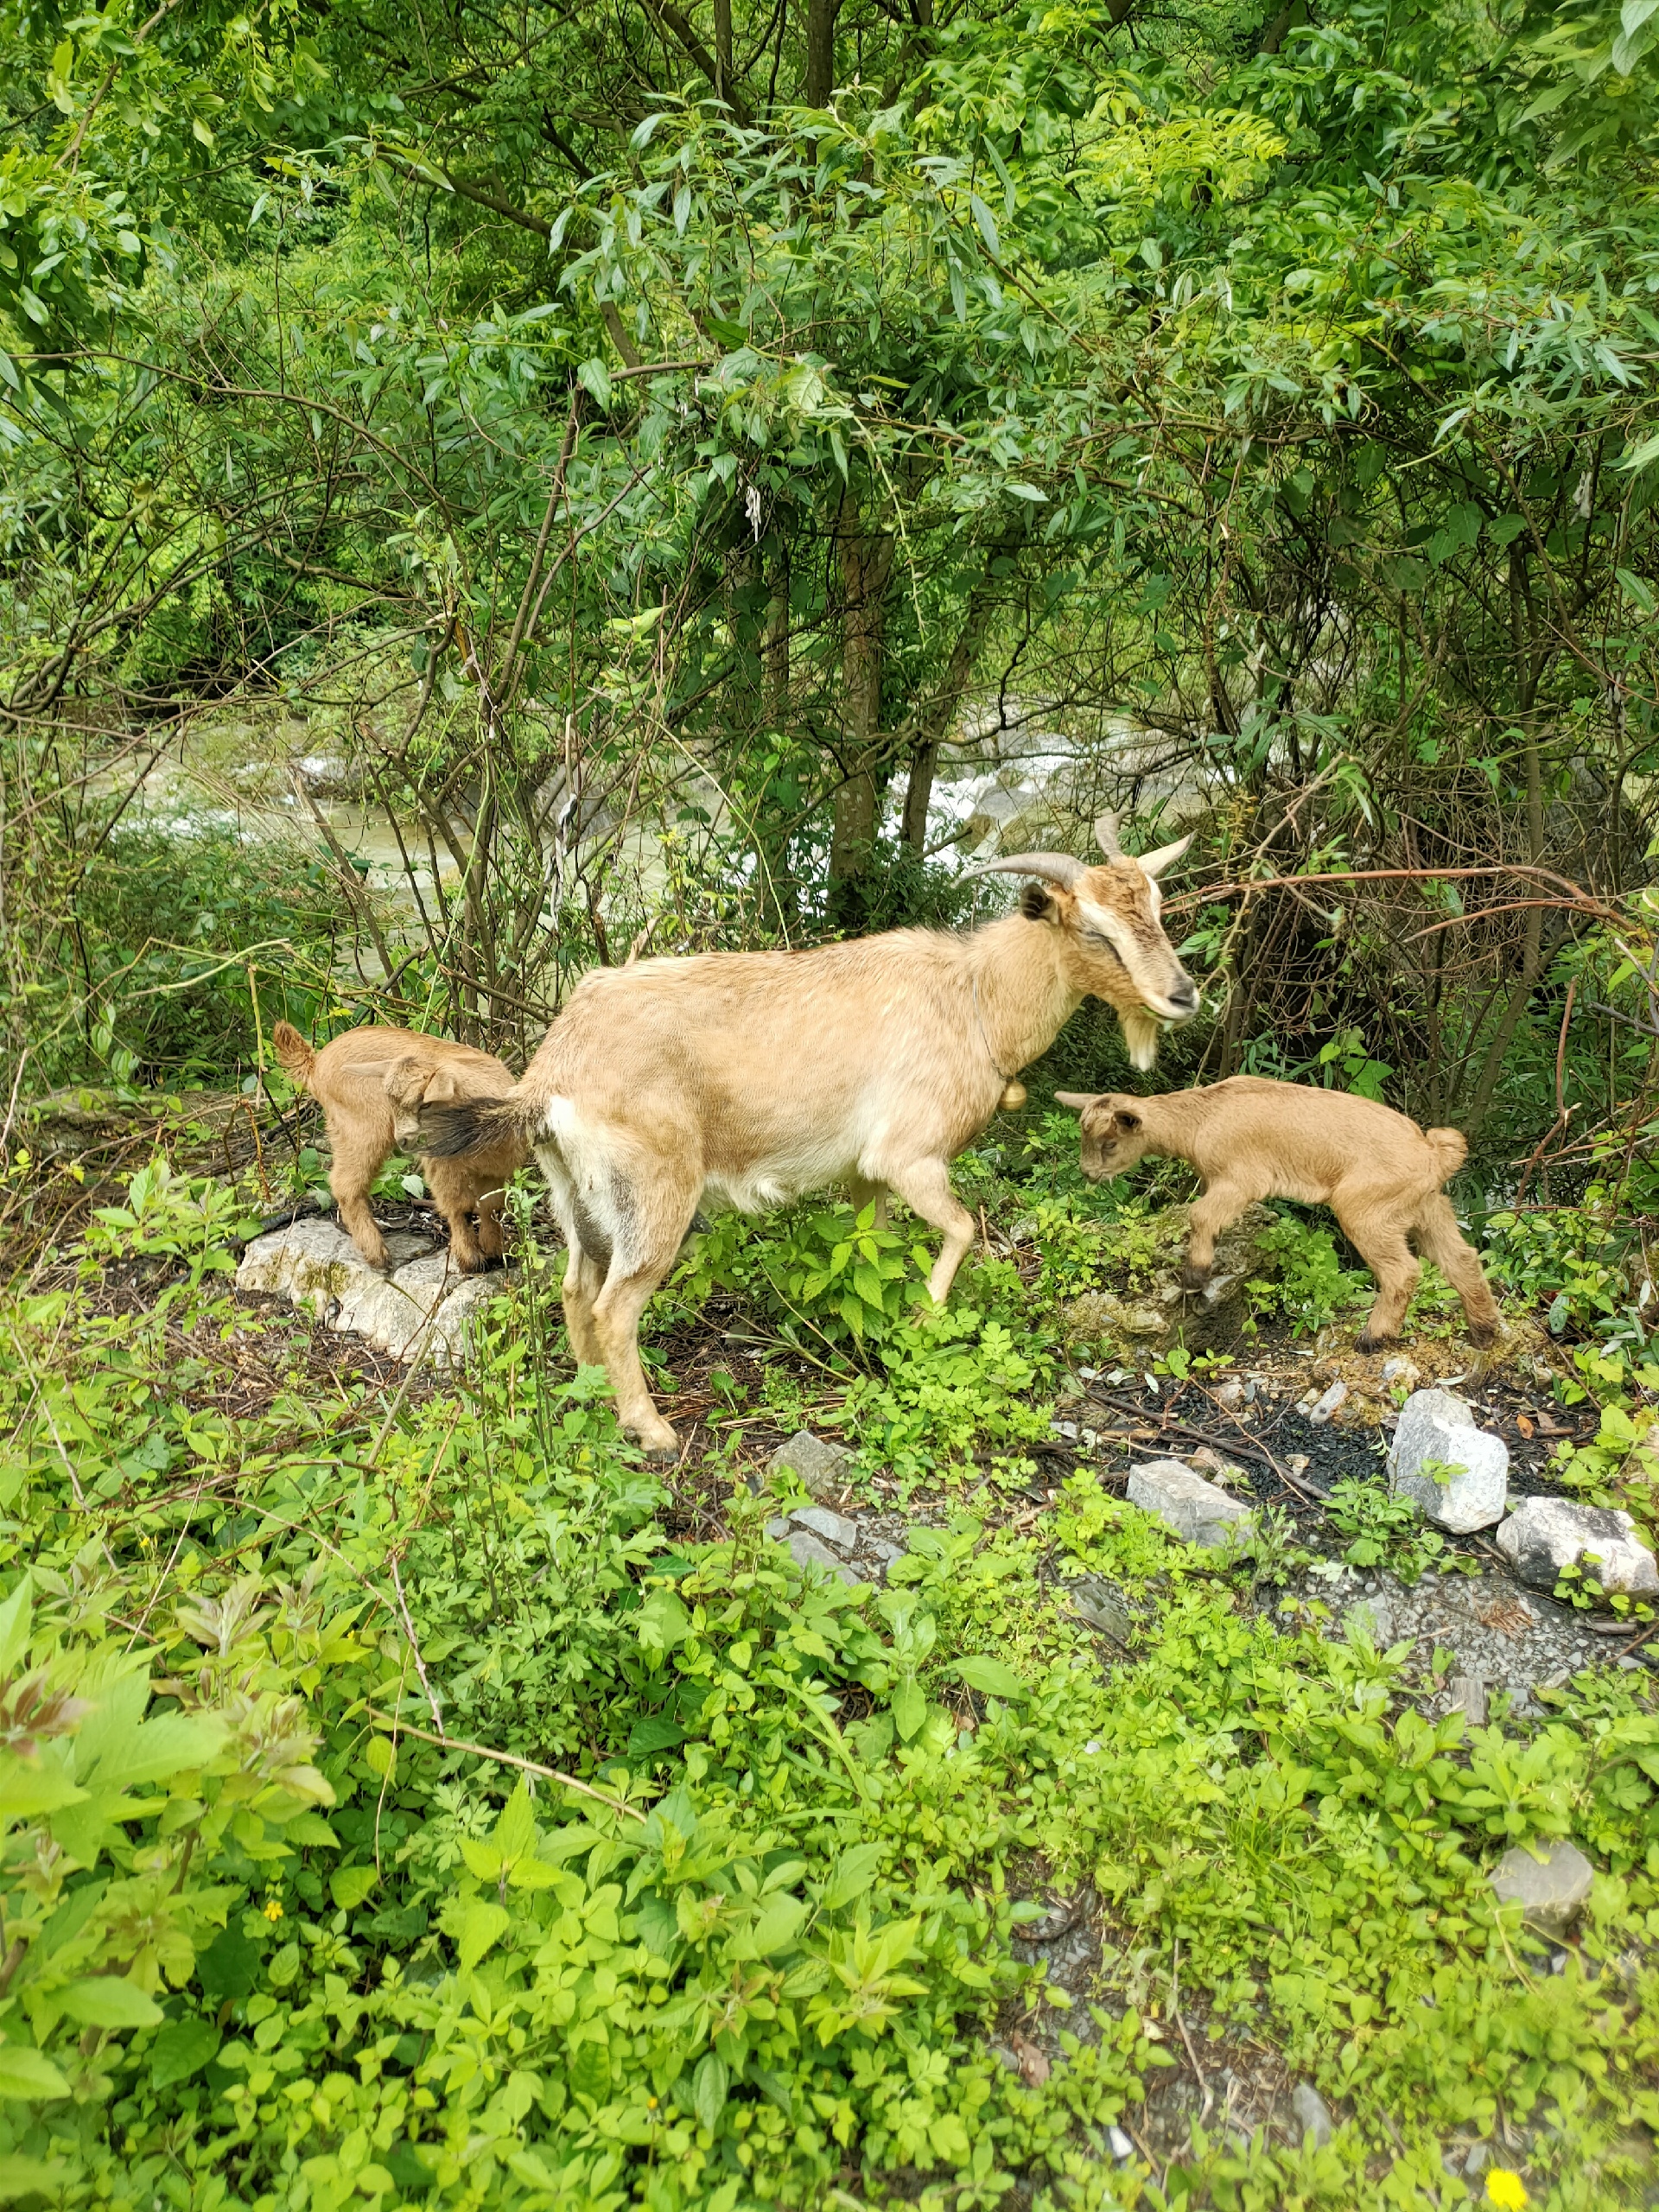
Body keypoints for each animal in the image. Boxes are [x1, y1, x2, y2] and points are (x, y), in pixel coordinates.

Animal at [422, 814, 1203, 1451]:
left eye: (1158, 908)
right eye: (1095, 929)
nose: (1183, 996)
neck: (974, 998)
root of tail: (551, 1074)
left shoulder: (866, 1173)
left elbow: (874, 1246)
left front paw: (885, 1329)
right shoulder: (910, 1155)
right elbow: (962, 1230)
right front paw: (925, 1325)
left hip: (579, 1196)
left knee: (576, 1291)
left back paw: (593, 1403)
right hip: (654, 1190)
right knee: (615, 1307)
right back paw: (652, 1430)